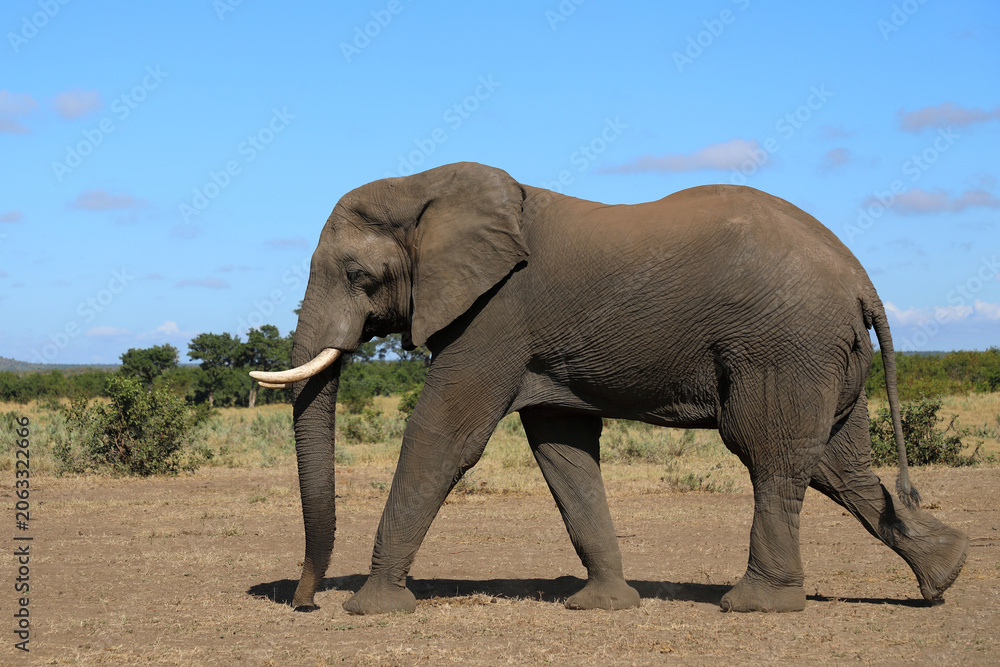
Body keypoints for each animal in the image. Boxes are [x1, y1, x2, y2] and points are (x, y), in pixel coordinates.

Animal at [251, 162, 968, 615]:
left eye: (359, 275)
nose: (304, 602)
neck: (429, 186)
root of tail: (861, 278)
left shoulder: (496, 313)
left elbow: (443, 433)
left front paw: (371, 608)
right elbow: (562, 450)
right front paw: (604, 605)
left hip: (783, 345)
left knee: (771, 455)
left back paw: (757, 605)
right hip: (827, 354)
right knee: (839, 464)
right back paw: (945, 573)